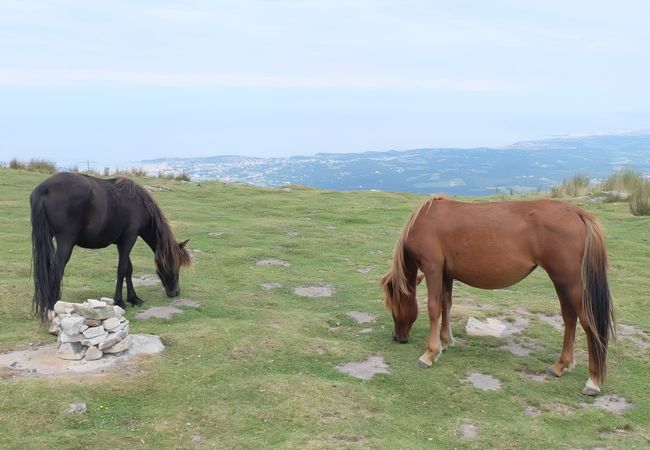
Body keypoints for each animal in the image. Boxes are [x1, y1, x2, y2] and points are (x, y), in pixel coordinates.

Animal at [30, 171, 191, 320]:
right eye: (176, 265)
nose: (176, 292)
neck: (139, 203)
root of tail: (45, 188)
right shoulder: (130, 238)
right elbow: (122, 269)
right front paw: (119, 301)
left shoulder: (122, 243)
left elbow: (128, 269)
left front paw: (133, 298)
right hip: (66, 242)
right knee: (56, 269)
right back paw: (53, 304)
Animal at [382, 197, 616, 394]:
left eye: (394, 308)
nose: (398, 338)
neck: (424, 221)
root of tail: (577, 212)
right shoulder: (446, 274)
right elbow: (446, 304)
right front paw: (446, 340)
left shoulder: (433, 268)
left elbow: (433, 308)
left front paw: (430, 353)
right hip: (562, 281)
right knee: (569, 318)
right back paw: (561, 365)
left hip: (569, 281)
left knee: (588, 322)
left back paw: (592, 381)